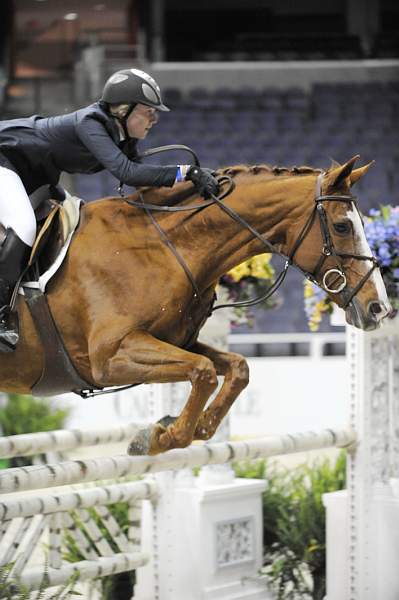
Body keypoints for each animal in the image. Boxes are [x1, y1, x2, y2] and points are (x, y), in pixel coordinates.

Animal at [0, 155, 392, 454]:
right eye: (342, 227)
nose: (379, 308)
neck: (162, 247)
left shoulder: (175, 341)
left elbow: (236, 368)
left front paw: (190, 427)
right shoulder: (109, 357)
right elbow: (203, 372)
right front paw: (160, 437)